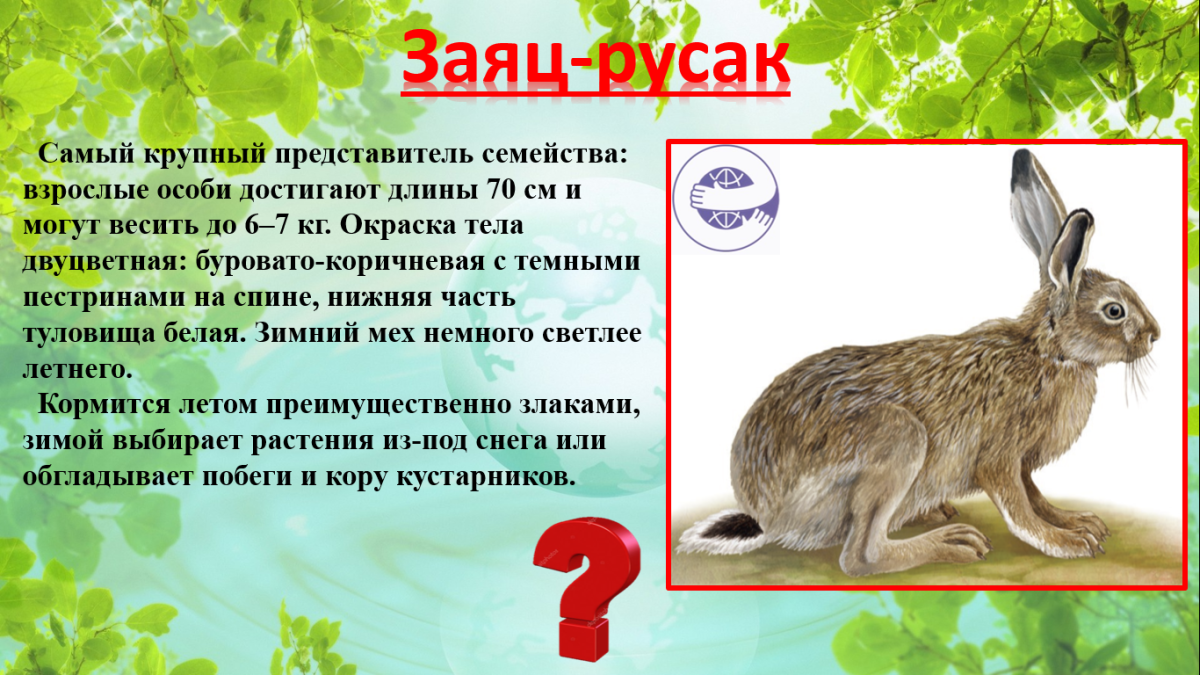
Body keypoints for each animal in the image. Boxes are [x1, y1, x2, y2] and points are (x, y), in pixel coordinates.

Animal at [676, 149, 1161, 576]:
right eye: (1114, 311)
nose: (1156, 335)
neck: (1049, 352)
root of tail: (766, 512)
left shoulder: (1023, 464)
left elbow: (1036, 496)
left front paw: (1080, 522)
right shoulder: (1000, 456)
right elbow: (1020, 508)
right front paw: (1067, 542)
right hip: (897, 438)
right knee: (861, 556)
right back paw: (952, 543)